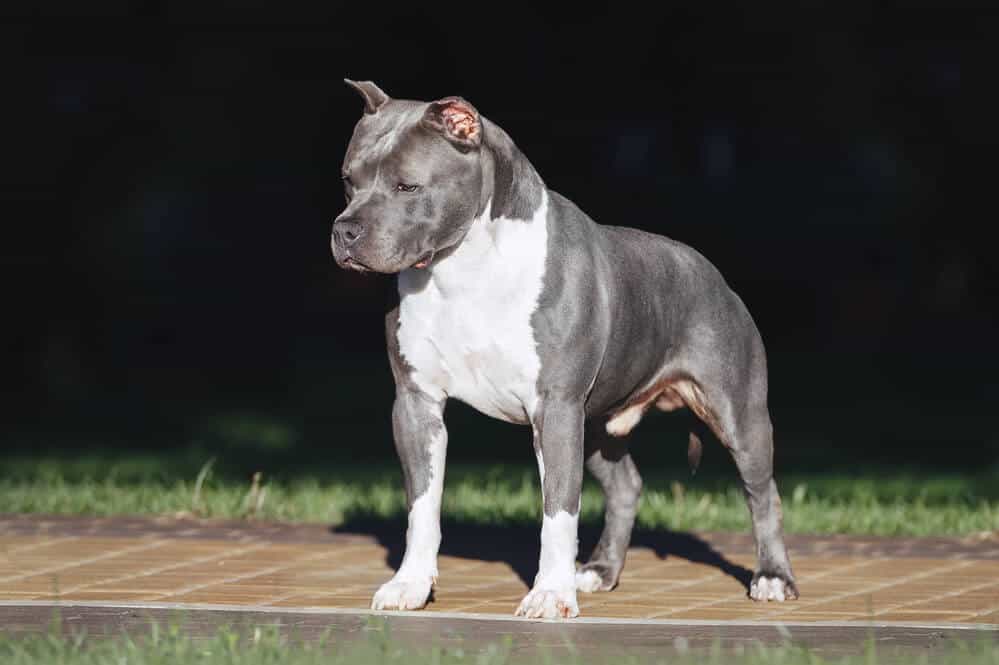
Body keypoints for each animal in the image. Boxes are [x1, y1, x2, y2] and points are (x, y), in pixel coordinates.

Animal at [332, 79, 800, 616]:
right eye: (348, 181)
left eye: (408, 186)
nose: (344, 230)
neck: (465, 268)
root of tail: (713, 273)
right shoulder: (416, 404)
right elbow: (422, 506)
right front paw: (410, 584)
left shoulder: (554, 408)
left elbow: (558, 511)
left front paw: (551, 593)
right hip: (597, 425)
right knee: (626, 486)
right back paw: (600, 571)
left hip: (737, 414)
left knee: (763, 493)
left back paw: (773, 577)